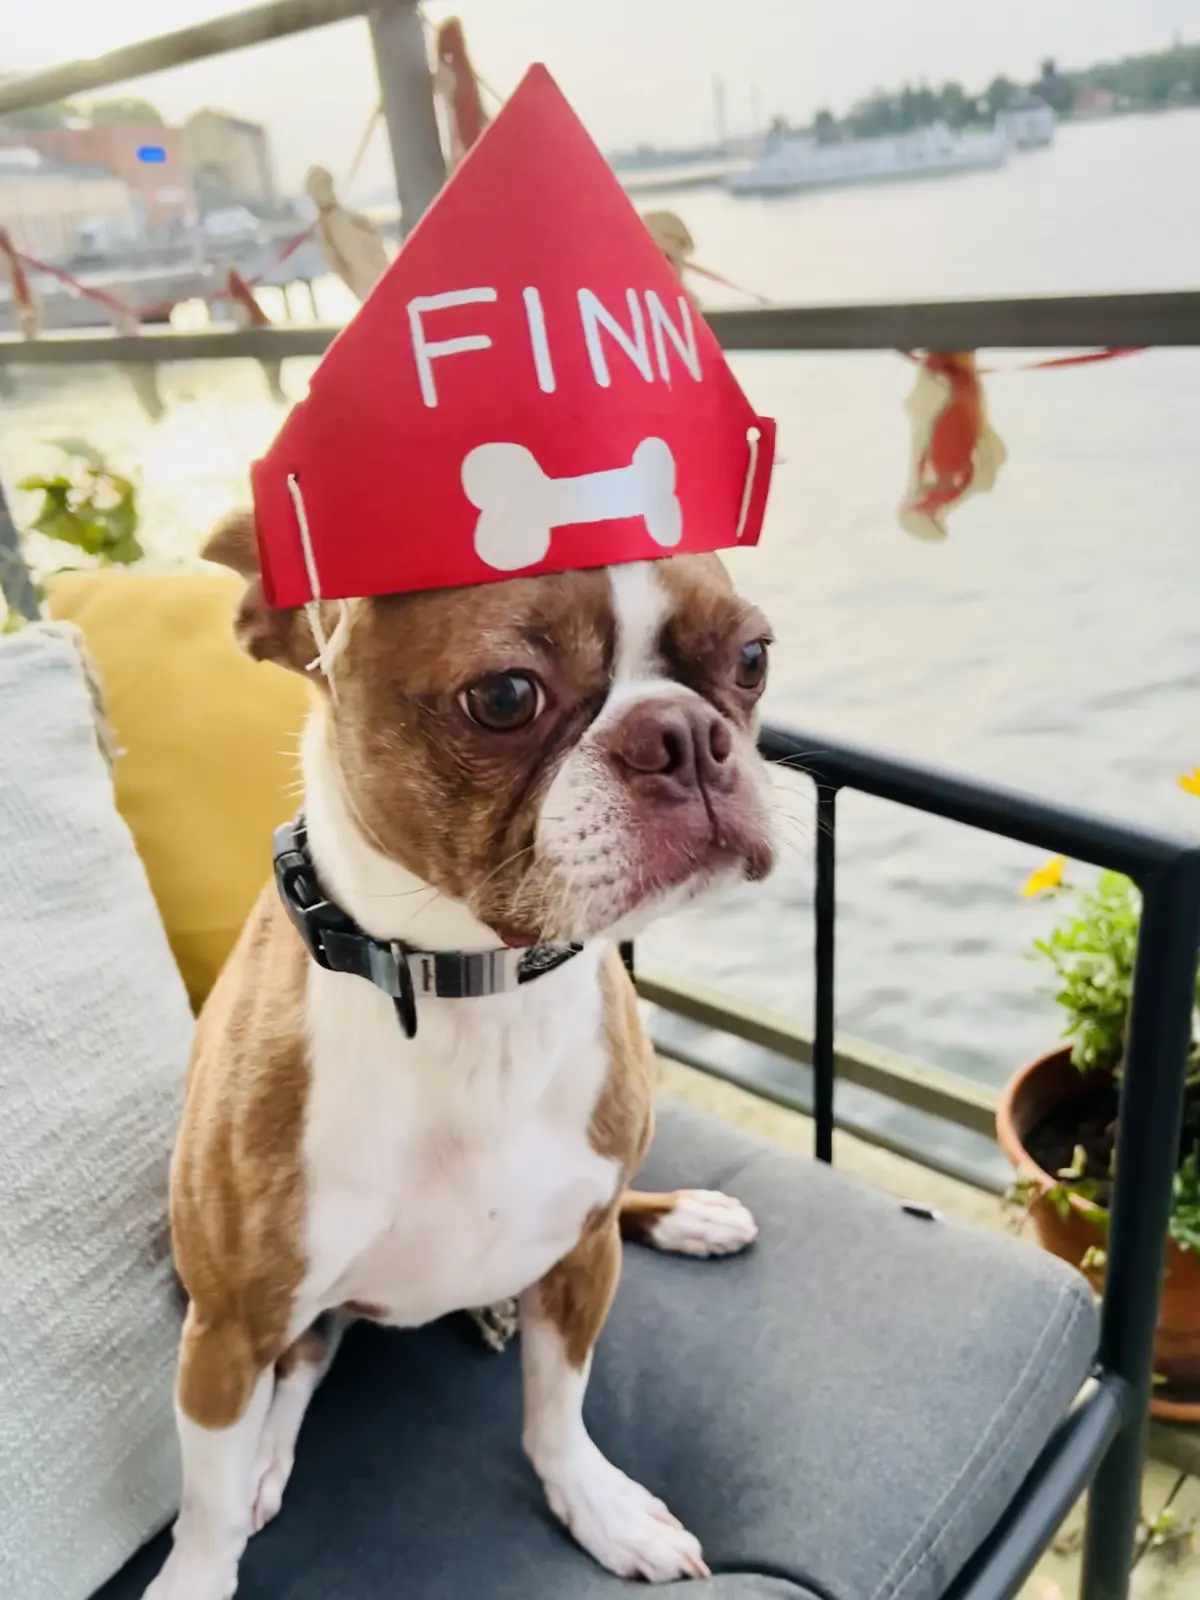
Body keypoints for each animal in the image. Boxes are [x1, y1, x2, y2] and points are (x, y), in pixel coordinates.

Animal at [143, 515, 780, 1600]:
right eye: (505, 697)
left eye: (751, 658)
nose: (686, 736)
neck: (470, 989)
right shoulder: (225, 1326)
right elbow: (210, 1507)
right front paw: (200, 1565)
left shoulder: (583, 1259)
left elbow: (558, 1411)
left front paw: (599, 1507)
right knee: (304, 1361)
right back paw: (270, 1451)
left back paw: (683, 1215)